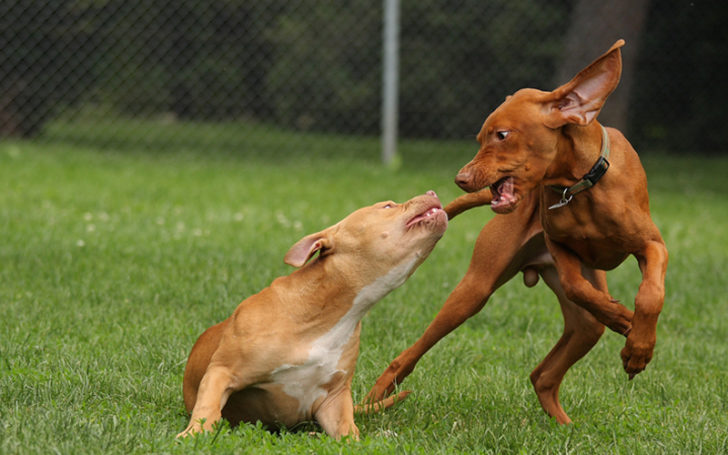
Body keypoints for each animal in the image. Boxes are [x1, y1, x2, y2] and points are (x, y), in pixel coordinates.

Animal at [178, 191, 446, 440]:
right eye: (387, 206)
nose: (432, 193)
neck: (328, 314)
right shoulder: (222, 371)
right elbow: (208, 409)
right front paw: (194, 434)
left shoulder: (334, 401)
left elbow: (349, 434)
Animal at [366, 38, 668, 424]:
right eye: (481, 137)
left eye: (502, 135)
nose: (461, 179)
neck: (581, 184)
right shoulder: (560, 248)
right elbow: (576, 284)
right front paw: (622, 319)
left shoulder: (652, 245)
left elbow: (650, 293)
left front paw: (639, 347)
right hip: (472, 292)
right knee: (407, 356)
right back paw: (371, 401)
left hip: (584, 327)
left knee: (544, 373)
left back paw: (565, 426)